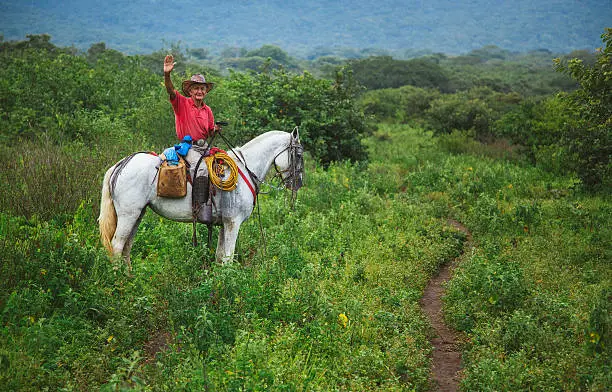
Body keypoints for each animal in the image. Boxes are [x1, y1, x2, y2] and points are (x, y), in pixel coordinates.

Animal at [97, 129, 304, 270]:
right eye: (299, 154)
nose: (298, 183)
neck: (245, 169)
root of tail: (121, 164)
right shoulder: (233, 222)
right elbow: (228, 258)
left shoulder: (224, 224)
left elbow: (220, 258)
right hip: (128, 215)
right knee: (117, 246)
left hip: (137, 214)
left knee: (126, 247)